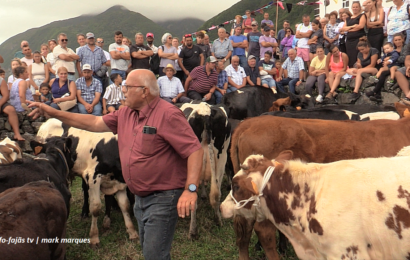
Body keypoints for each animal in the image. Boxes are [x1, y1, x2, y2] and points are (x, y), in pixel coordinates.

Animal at [179, 102, 231, 239]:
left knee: (193, 199)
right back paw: (218, 221)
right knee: (217, 193)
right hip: (221, 158)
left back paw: (193, 231)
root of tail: (205, 110)